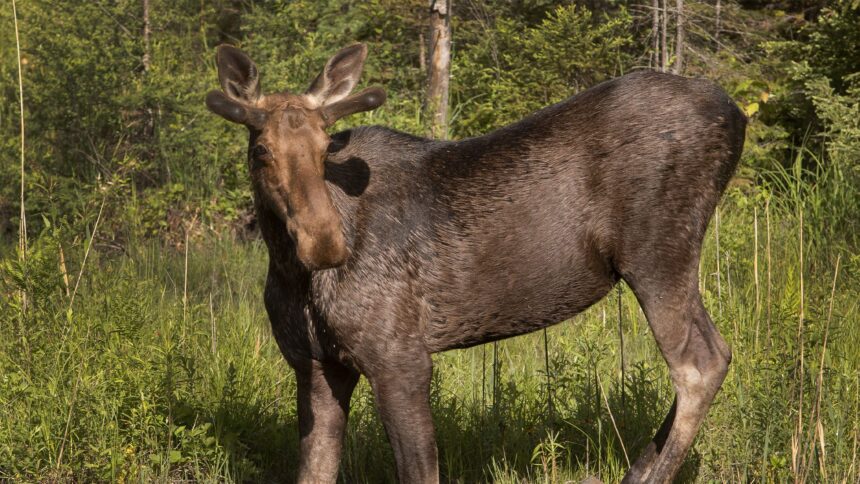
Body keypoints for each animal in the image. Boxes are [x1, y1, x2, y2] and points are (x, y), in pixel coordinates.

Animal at [205, 42, 746, 483]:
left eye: (324, 148)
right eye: (261, 150)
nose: (325, 243)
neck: (292, 274)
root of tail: (736, 114)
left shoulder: (400, 357)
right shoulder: (315, 364)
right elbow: (314, 471)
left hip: (658, 252)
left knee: (702, 362)